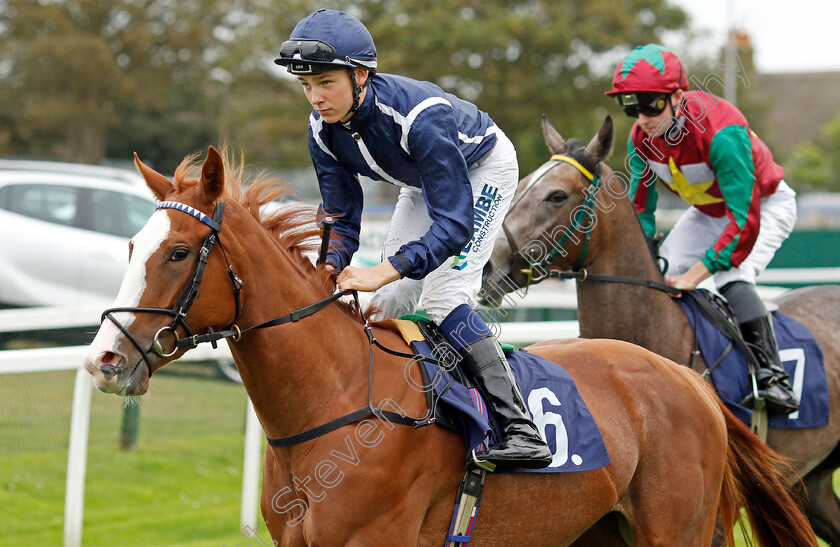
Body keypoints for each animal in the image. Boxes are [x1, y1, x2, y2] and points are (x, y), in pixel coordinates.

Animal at [82, 148, 816, 544]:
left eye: (179, 252)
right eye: (132, 246)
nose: (104, 360)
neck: (334, 399)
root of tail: (688, 380)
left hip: (677, 527)